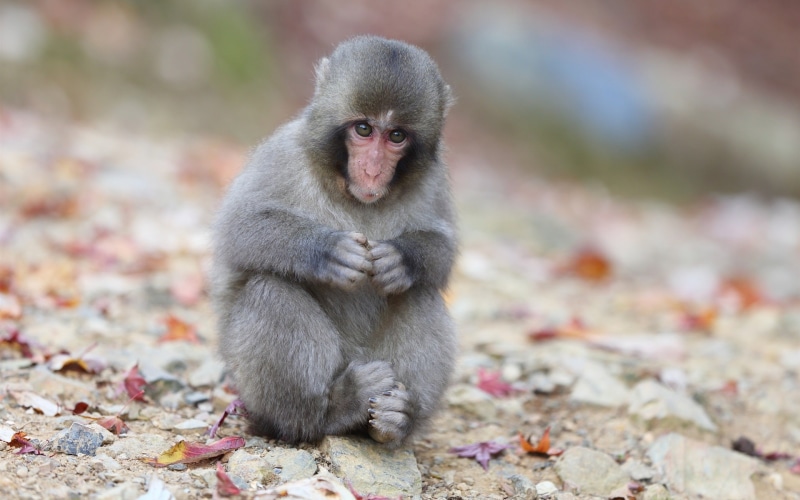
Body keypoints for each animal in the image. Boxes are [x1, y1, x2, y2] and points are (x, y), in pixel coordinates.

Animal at [210, 35, 456, 448]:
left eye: (396, 136)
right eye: (363, 129)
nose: (372, 170)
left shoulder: (434, 179)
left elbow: (444, 248)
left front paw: (400, 259)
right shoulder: (284, 153)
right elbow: (239, 227)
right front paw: (328, 252)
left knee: (420, 293)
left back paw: (398, 419)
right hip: (259, 390)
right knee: (270, 289)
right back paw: (328, 411)